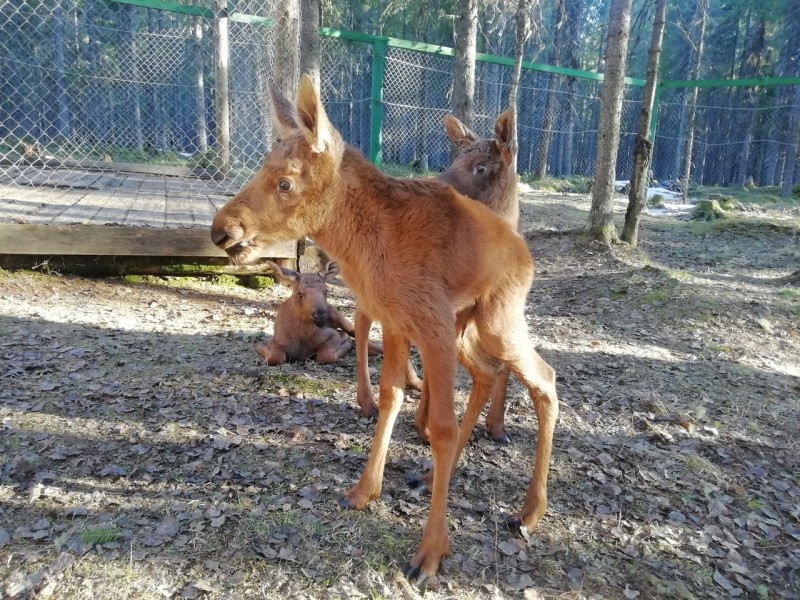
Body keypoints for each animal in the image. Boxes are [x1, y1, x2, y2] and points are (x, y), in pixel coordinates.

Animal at [354, 110, 520, 442]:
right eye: (453, 162)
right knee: (361, 318)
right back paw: (367, 401)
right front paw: (425, 425)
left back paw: (410, 380)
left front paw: (497, 426)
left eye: (481, 166)